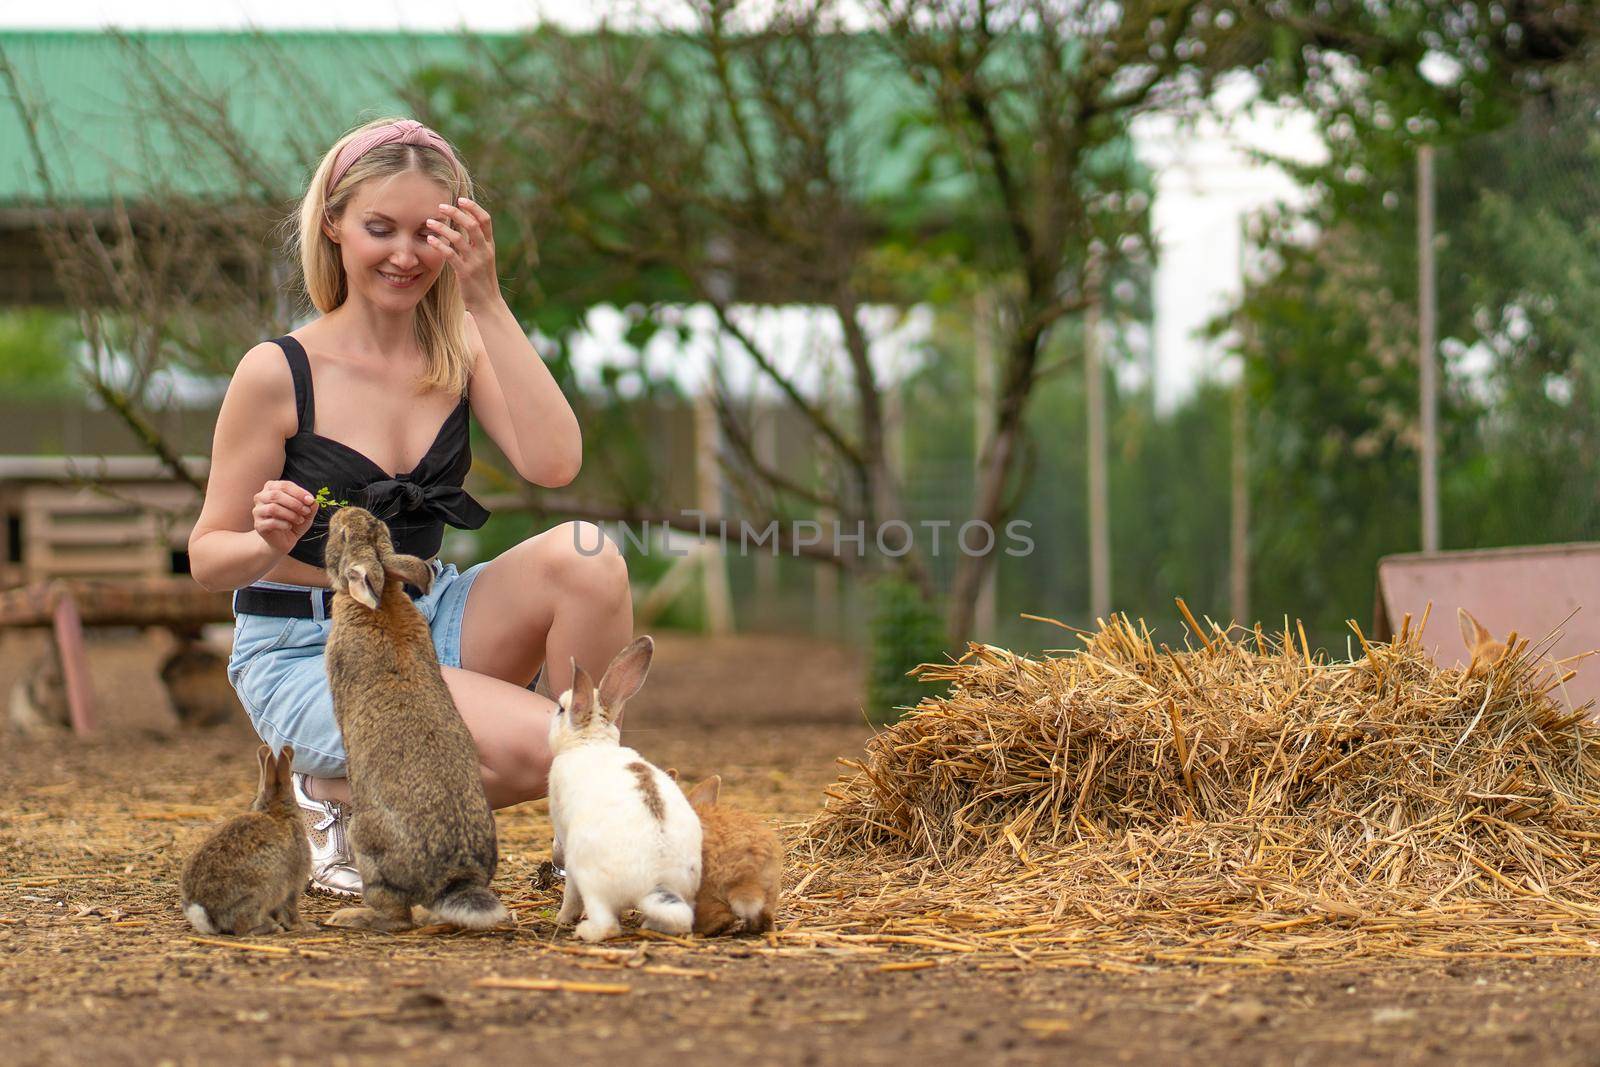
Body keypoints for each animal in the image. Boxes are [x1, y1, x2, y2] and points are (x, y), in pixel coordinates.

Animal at [181, 748, 312, 940]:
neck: (278, 813)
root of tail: (207, 914)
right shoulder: (293, 885)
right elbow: (291, 910)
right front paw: (305, 927)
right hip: (258, 893)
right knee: (242, 927)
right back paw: (272, 928)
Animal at [318, 505, 505, 927]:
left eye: (341, 535)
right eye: (381, 528)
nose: (345, 511)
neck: (383, 599)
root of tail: (454, 877)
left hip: (367, 844)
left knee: (396, 913)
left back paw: (350, 917)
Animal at [550, 633, 700, 940]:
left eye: (561, 708)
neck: (590, 743)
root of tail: (656, 881)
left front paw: (562, 918)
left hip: (589, 876)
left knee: (606, 924)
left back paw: (584, 930)